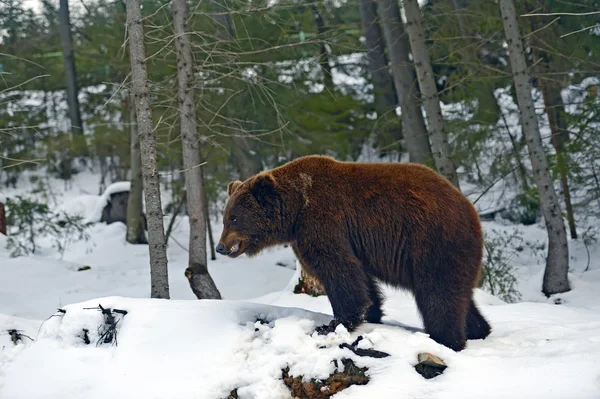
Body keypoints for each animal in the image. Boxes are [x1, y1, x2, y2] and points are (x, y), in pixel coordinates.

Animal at [218, 155, 490, 352]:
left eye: (234, 218)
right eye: (225, 218)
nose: (221, 247)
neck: (296, 210)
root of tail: (471, 211)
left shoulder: (323, 221)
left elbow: (337, 268)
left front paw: (333, 324)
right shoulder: (348, 239)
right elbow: (360, 277)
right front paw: (371, 313)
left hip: (433, 243)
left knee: (438, 294)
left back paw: (447, 340)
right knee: (459, 296)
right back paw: (479, 330)